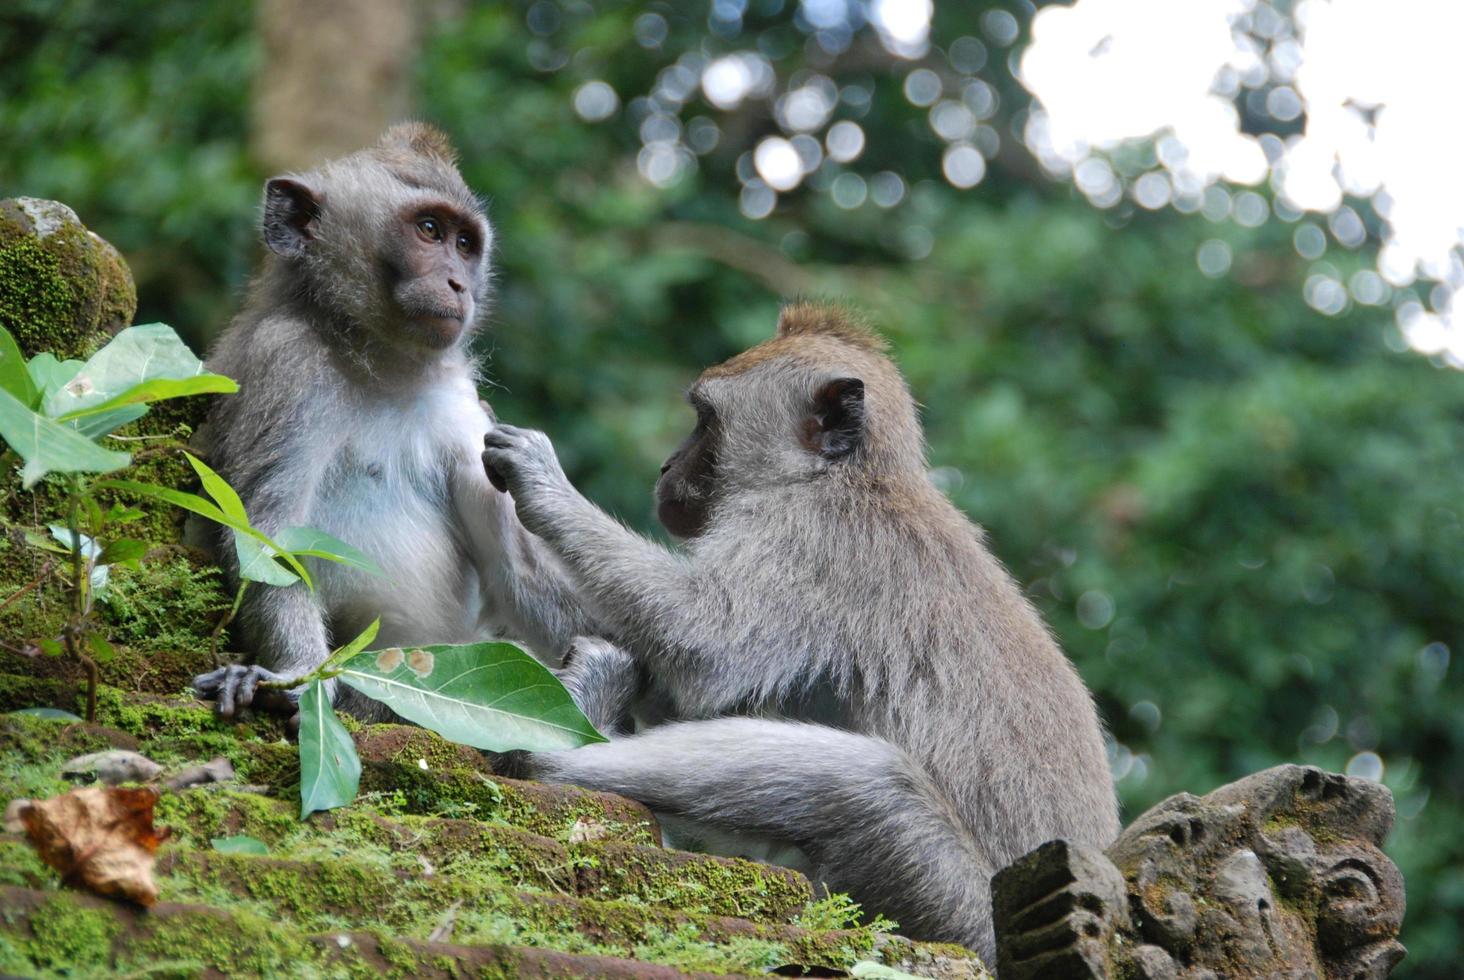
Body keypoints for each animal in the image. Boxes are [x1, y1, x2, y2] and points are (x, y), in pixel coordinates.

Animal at [191, 124, 591, 717]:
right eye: (429, 231)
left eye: (465, 244)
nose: (458, 284)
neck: (380, 362)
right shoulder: (285, 362)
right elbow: (267, 536)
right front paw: (299, 677)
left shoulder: (461, 407)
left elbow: (516, 574)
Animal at [483, 303, 1118, 960]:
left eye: (704, 421)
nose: (665, 466)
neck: (841, 477)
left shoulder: (815, 542)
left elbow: (703, 645)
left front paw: (544, 488)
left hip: (955, 906)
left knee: (866, 785)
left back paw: (555, 750)